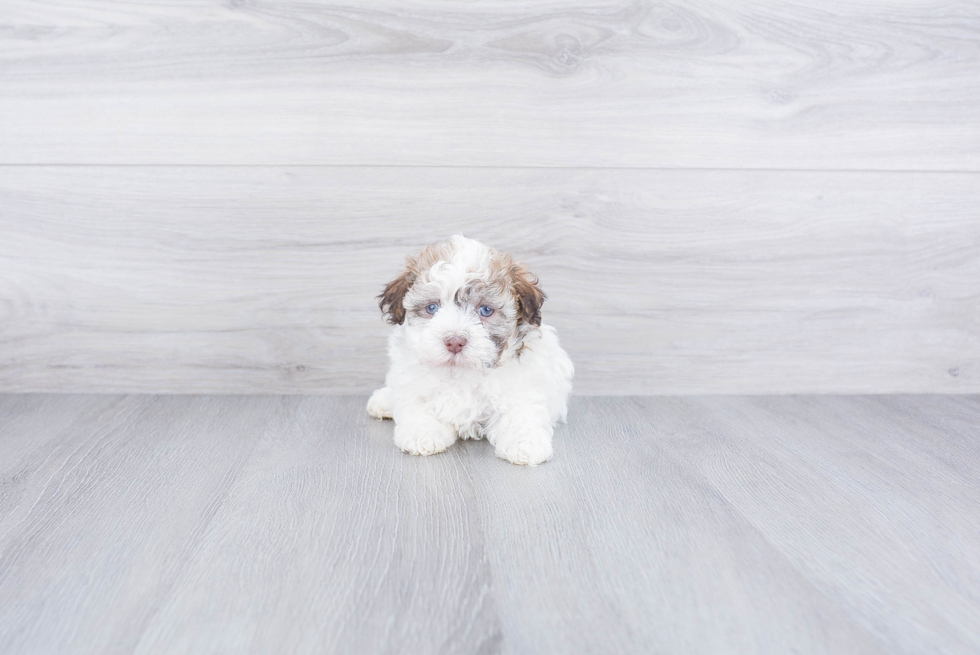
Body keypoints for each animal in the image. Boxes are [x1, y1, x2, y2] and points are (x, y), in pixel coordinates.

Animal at [368, 236, 576, 466]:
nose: (454, 341)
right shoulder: (413, 382)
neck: (461, 372)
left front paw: (525, 443)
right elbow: (418, 405)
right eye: (432, 308)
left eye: (485, 310)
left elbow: (520, 412)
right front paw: (422, 434)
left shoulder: (524, 385)